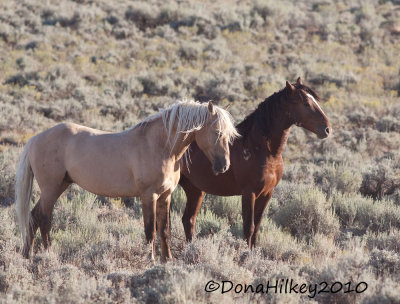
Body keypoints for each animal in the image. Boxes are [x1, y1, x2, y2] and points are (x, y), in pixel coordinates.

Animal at [16, 100, 238, 262]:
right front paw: (150, 260)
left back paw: (27, 255)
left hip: (59, 186)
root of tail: (35, 139)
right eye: (217, 132)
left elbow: (164, 230)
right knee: (44, 219)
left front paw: (168, 260)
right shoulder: (149, 196)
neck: (160, 147)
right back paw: (48, 254)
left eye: (229, 135)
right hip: (50, 189)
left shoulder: (165, 196)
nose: (224, 166)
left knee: (33, 217)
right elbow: (150, 231)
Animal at [180, 78, 332, 249]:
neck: (261, 149)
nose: (327, 129)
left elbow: (257, 227)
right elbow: (249, 227)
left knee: (189, 220)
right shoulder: (249, 193)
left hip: (195, 190)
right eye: (305, 103)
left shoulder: (267, 193)